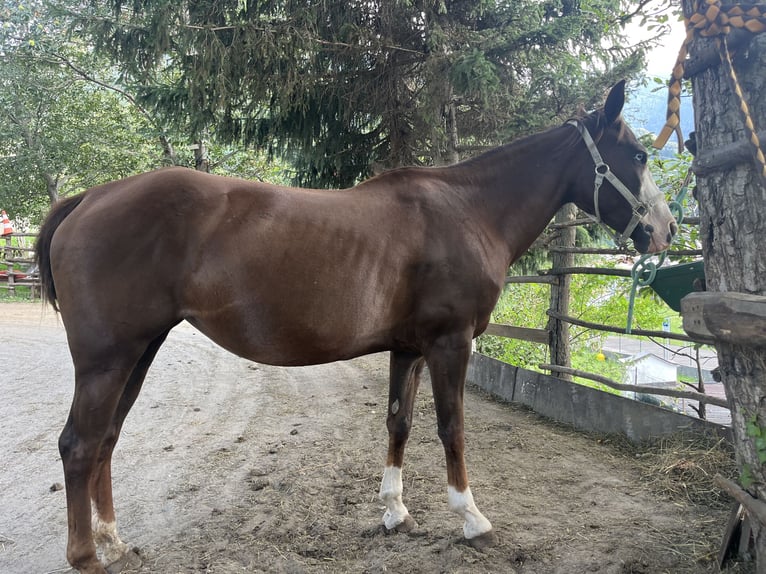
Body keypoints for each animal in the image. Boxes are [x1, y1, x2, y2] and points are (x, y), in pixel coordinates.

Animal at [35, 80, 676, 574]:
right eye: (639, 156)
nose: (666, 230)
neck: (468, 212)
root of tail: (89, 197)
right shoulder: (450, 345)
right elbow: (452, 428)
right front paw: (471, 518)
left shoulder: (409, 349)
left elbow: (399, 423)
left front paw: (395, 512)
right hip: (107, 359)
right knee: (79, 444)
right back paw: (85, 555)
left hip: (139, 351)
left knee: (107, 440)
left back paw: (114, 541)